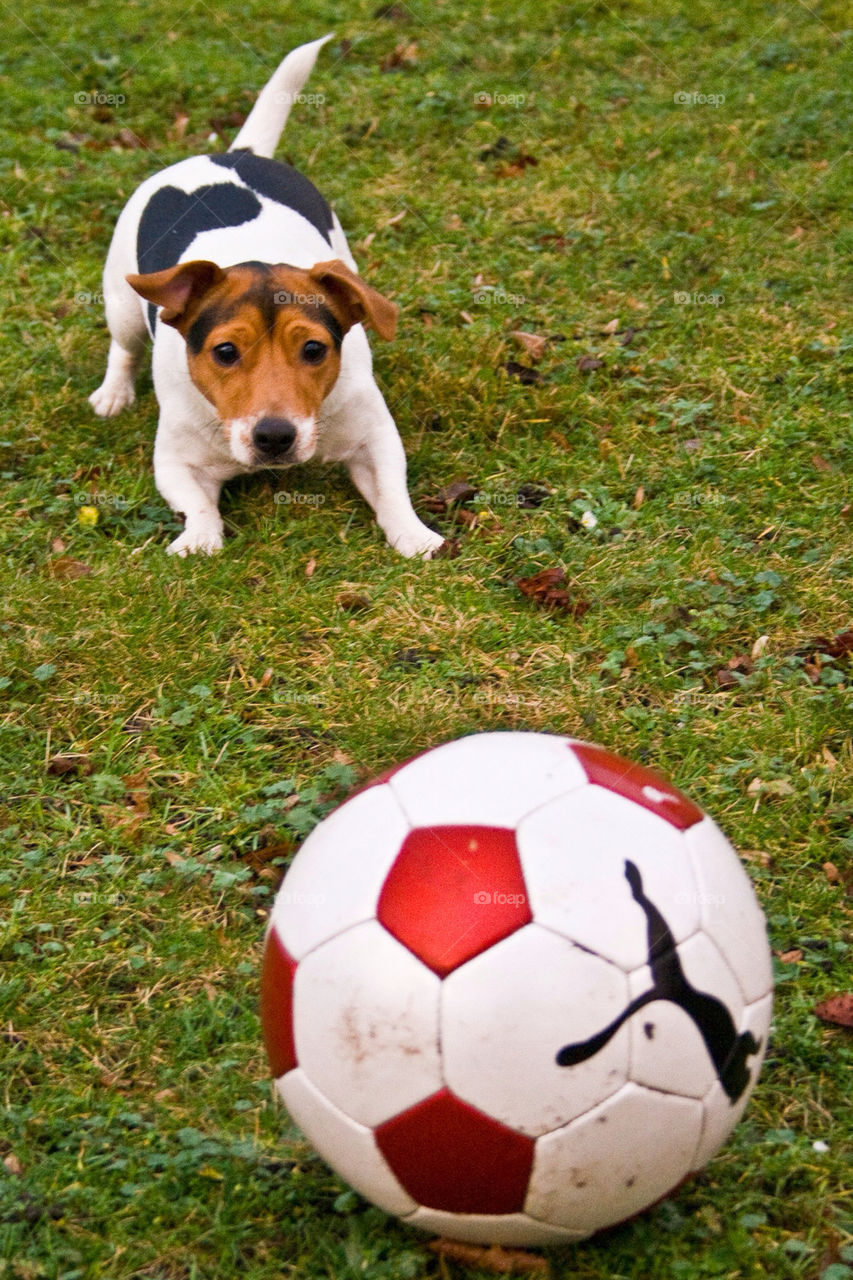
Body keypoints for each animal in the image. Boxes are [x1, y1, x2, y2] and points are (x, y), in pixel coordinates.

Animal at [89, 32, 440, 555]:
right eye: (225, 352)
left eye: (314, 349)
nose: (274, 436)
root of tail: (234, 152)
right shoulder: (176, 463)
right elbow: (197, 507)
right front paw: (199, 540)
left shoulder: (375, 437)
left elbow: (394, 491)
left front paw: (415, 536)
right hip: (122, 306)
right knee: (124, 347)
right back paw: (114, 393)